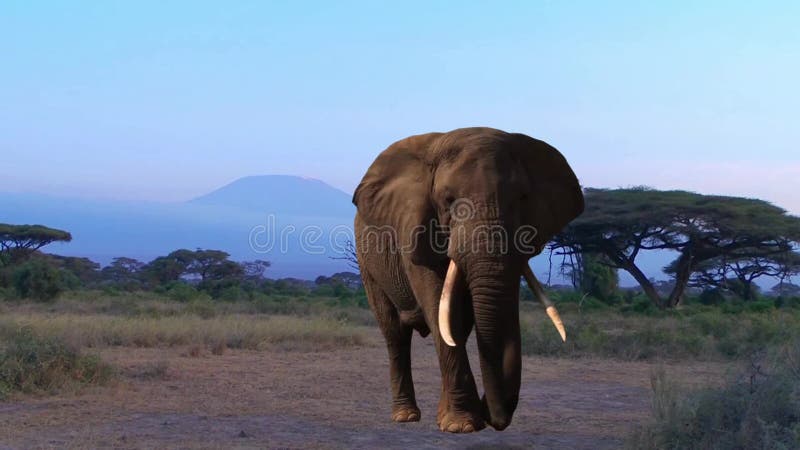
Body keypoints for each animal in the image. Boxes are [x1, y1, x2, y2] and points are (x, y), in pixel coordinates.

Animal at [354, 126, 584, 432]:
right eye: (448, 201)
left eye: (522, 199)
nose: (496, 421)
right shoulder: (413, 229)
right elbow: (436, 304)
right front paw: (462, 426)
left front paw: (455, 422)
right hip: (368, 263)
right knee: (394, 333)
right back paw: (405, 416)